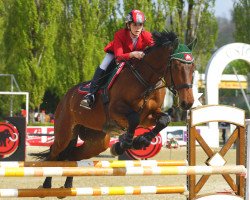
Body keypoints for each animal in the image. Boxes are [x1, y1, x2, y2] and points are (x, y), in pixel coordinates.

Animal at [31, 30, 195, 191]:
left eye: (193, 68)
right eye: (176, 67)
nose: (188, 103)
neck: (146, 80)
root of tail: (66, 97)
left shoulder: (149, 116)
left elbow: (164, 120)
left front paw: (141, 141)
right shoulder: (116, 110)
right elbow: (134, 118)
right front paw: (123, 145)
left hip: (96, 142)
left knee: (72, 156)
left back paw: (67, 185)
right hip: (64, 132)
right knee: (54, 153)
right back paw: (46, 185)